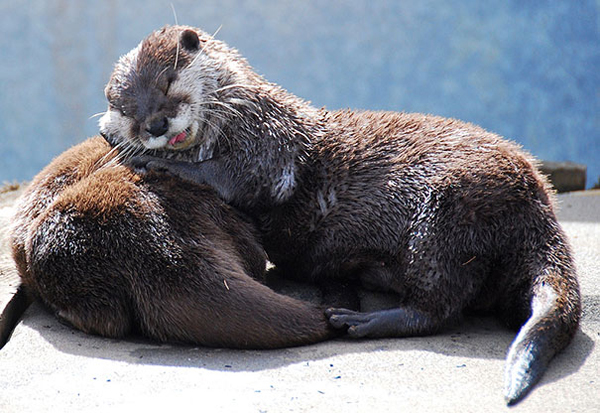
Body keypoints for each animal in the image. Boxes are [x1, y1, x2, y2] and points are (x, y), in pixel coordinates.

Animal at [98, 25, 580, 402]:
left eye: (168, 81)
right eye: (127, 109)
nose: (154, 125)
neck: (241, 113)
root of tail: (538, 198)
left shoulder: (270, 144)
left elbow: (239, 178)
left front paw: (154, 161)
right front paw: (117, 139)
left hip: (447, 212)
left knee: (439, 307)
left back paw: (362, 321)